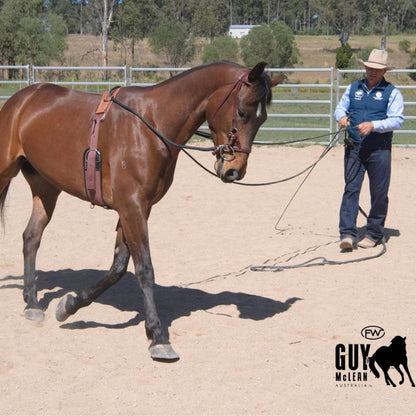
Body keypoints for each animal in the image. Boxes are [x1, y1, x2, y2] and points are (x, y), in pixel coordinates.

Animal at [0, 61, 282, 360]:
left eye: (263, 119)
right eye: (242, 112)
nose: (234, 171)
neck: (152, 125)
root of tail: (22, 100)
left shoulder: (136, 209)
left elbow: (118, 267)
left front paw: (71, 305)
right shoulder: (131, 207)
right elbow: (144, 269)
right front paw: (158, 336)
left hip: (46, 188)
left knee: (31, 237)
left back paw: (32, 302)